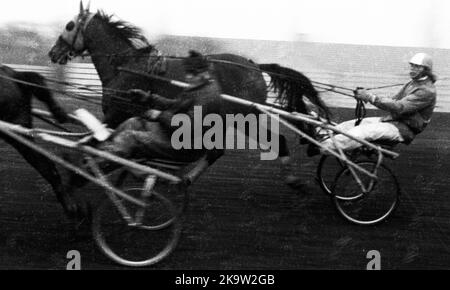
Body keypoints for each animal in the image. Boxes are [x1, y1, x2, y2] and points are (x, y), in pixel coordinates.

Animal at [49, 2, 330, 187]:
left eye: (70, 25)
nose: (54, 53)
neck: (127, 66)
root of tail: (254, 65)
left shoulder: (114, 115)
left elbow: (99, 142)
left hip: (241, 118)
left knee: (251, 145)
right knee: (260, 143)